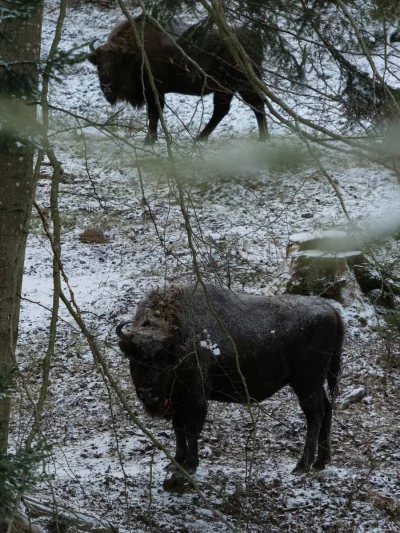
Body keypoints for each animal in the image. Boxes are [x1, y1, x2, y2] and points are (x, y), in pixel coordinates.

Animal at [88, 15, 268, 143]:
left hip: (232, 86)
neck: (136, 53)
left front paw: (149, 140)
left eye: (119, 63)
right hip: (235, 87)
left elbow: (154, 113)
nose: (106, 86)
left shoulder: (156, 90)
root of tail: (254, 37)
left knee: (236, 107)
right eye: (98, 64)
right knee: (247, 106)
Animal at [115, 282, 344, 474]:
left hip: (306, 383)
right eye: (133, 357)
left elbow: (191, 429)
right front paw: (175, 463)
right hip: (314, 384)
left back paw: (302, 466)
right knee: (327, 409)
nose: (146, 392)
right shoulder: (177, 399)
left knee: (315, 415)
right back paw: (322, 462)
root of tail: (331, 310)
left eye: (162, 359)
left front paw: (190, 465)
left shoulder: (195, 396)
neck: (179, 341)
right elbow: (178, 428)